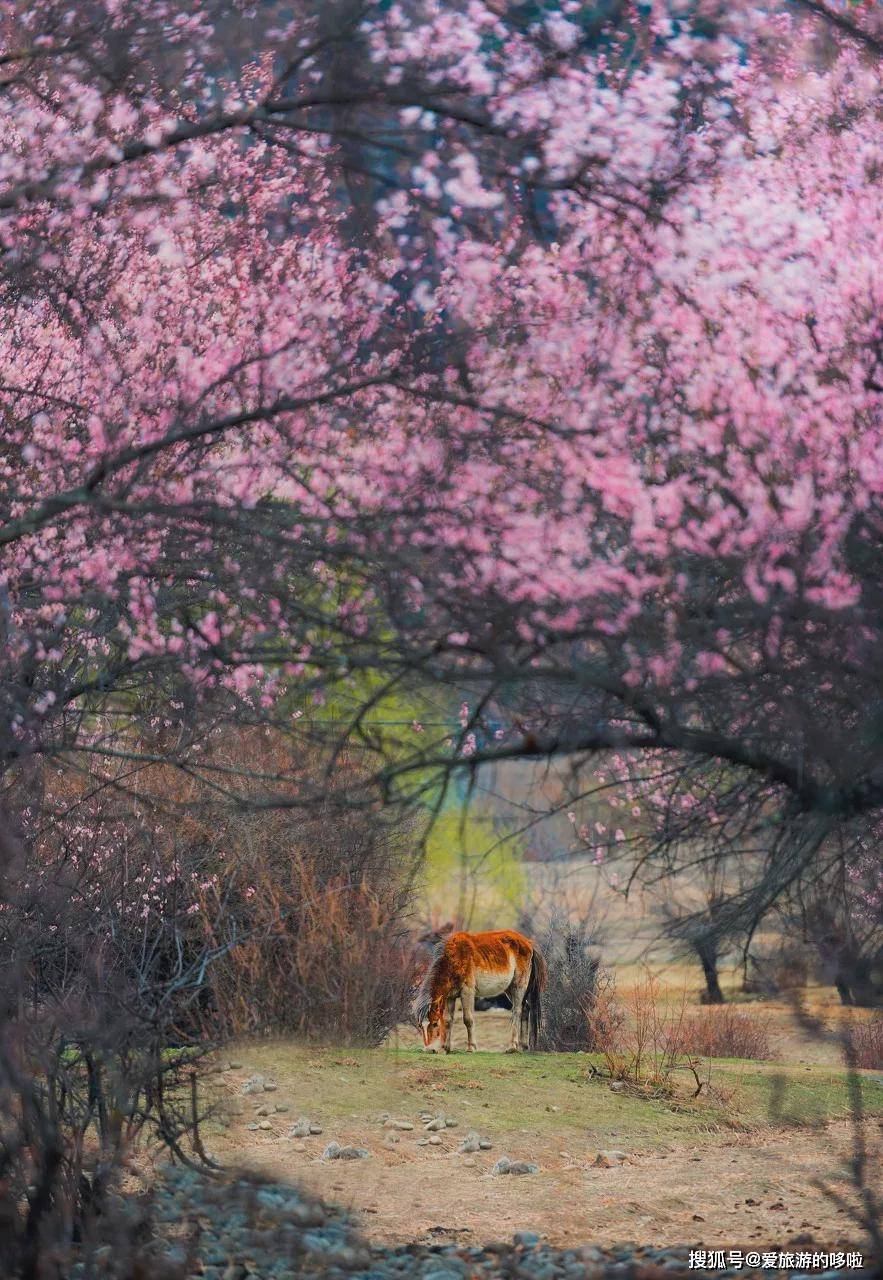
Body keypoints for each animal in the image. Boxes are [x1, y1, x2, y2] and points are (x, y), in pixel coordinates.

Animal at [412, 931, 542, 1049]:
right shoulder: (450, 997)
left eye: (435, 1024)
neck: (455, 958)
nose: (429, 1048)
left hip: (518, 986)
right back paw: (523, 1046)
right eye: (420, 1026)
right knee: (525, 1008)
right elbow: (448, 1021)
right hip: (509, 989)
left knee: (517, 1011)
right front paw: (446, 1048)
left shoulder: (467, 992)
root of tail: (528, 942)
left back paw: (512, 1046)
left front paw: (471, 1047)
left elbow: (468, 1019)